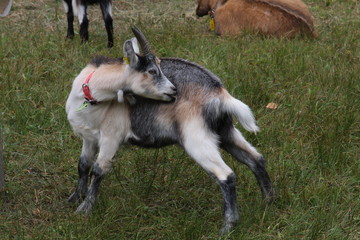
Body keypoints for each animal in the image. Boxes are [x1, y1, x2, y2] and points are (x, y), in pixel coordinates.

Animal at [66, 26, 274, 234]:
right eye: (152, 70)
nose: (174, 91)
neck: (90, 94)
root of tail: (219, 93)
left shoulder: (111, 137)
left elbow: (98, 170)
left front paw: (84, 209)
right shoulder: (89, 138)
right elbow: (83, 165)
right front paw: (75, 198)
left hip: (197, 138)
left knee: (226, 175)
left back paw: (228, 227)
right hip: (225, 131)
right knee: (256, 159)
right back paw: (268, 202)